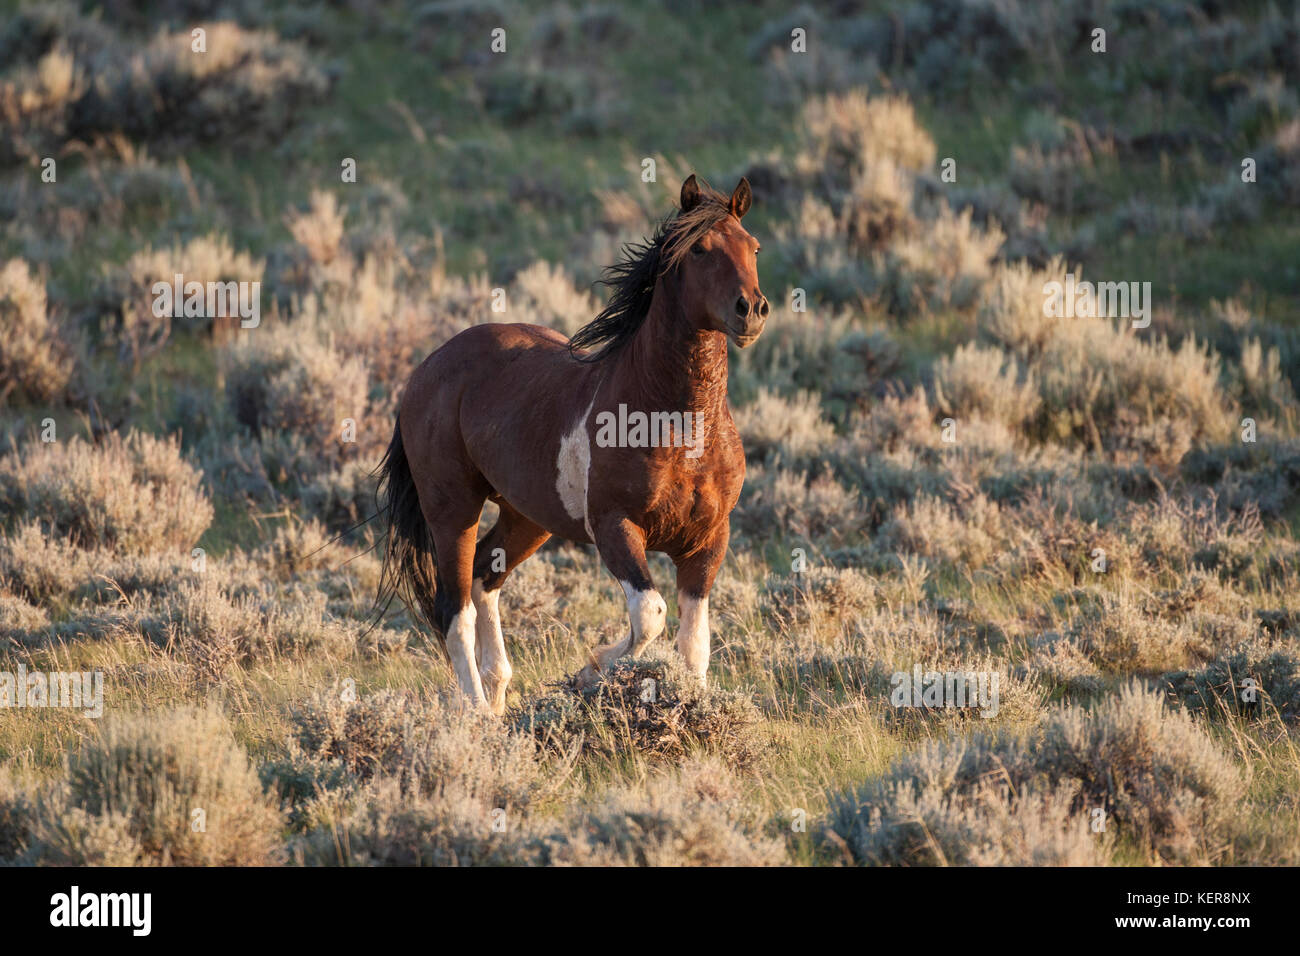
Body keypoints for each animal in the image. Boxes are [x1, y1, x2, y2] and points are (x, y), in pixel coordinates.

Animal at [374, 174, 767, 714]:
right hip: (453, 512)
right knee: (455, 610)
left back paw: (497, 696)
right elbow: (650, 613)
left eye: (754, 246)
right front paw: (589, 672)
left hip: (527, 518)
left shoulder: (708, 540)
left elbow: (694, 648)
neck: (679, 425)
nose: (751, 311)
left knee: (483, 578)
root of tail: (426, 369)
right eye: (700, 249)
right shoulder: (615, 527)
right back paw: (477, 713)